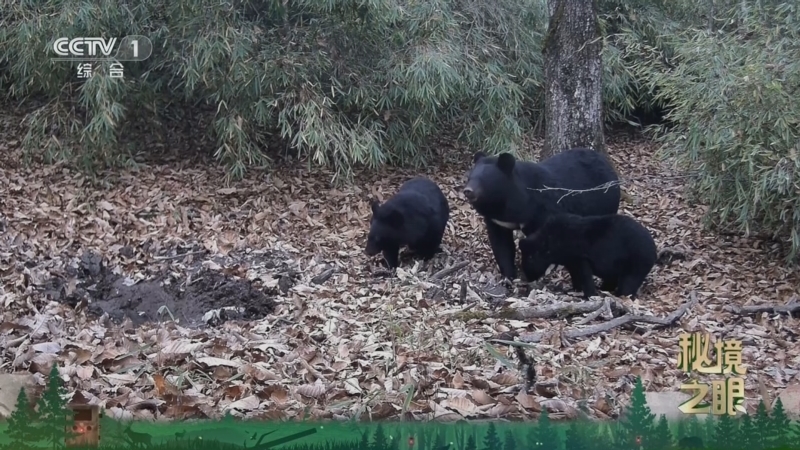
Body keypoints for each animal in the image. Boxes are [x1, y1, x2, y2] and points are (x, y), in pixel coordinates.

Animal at [463, 148, 621, 280]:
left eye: (484, 180)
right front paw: (509, 275)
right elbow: (501, 244)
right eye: (470, 178)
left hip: (604, 202)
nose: (468, 191)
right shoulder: (497, 220)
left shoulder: (541, 212)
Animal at [518, 213, 657, 299]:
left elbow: (584, 276)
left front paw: (589, 295)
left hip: (635, 264)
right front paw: (576, 289)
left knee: (628, 283)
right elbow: (575, 276)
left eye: (530, 258)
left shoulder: (580, 259)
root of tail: (654, 250)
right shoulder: (571, 261)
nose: (527, 277)